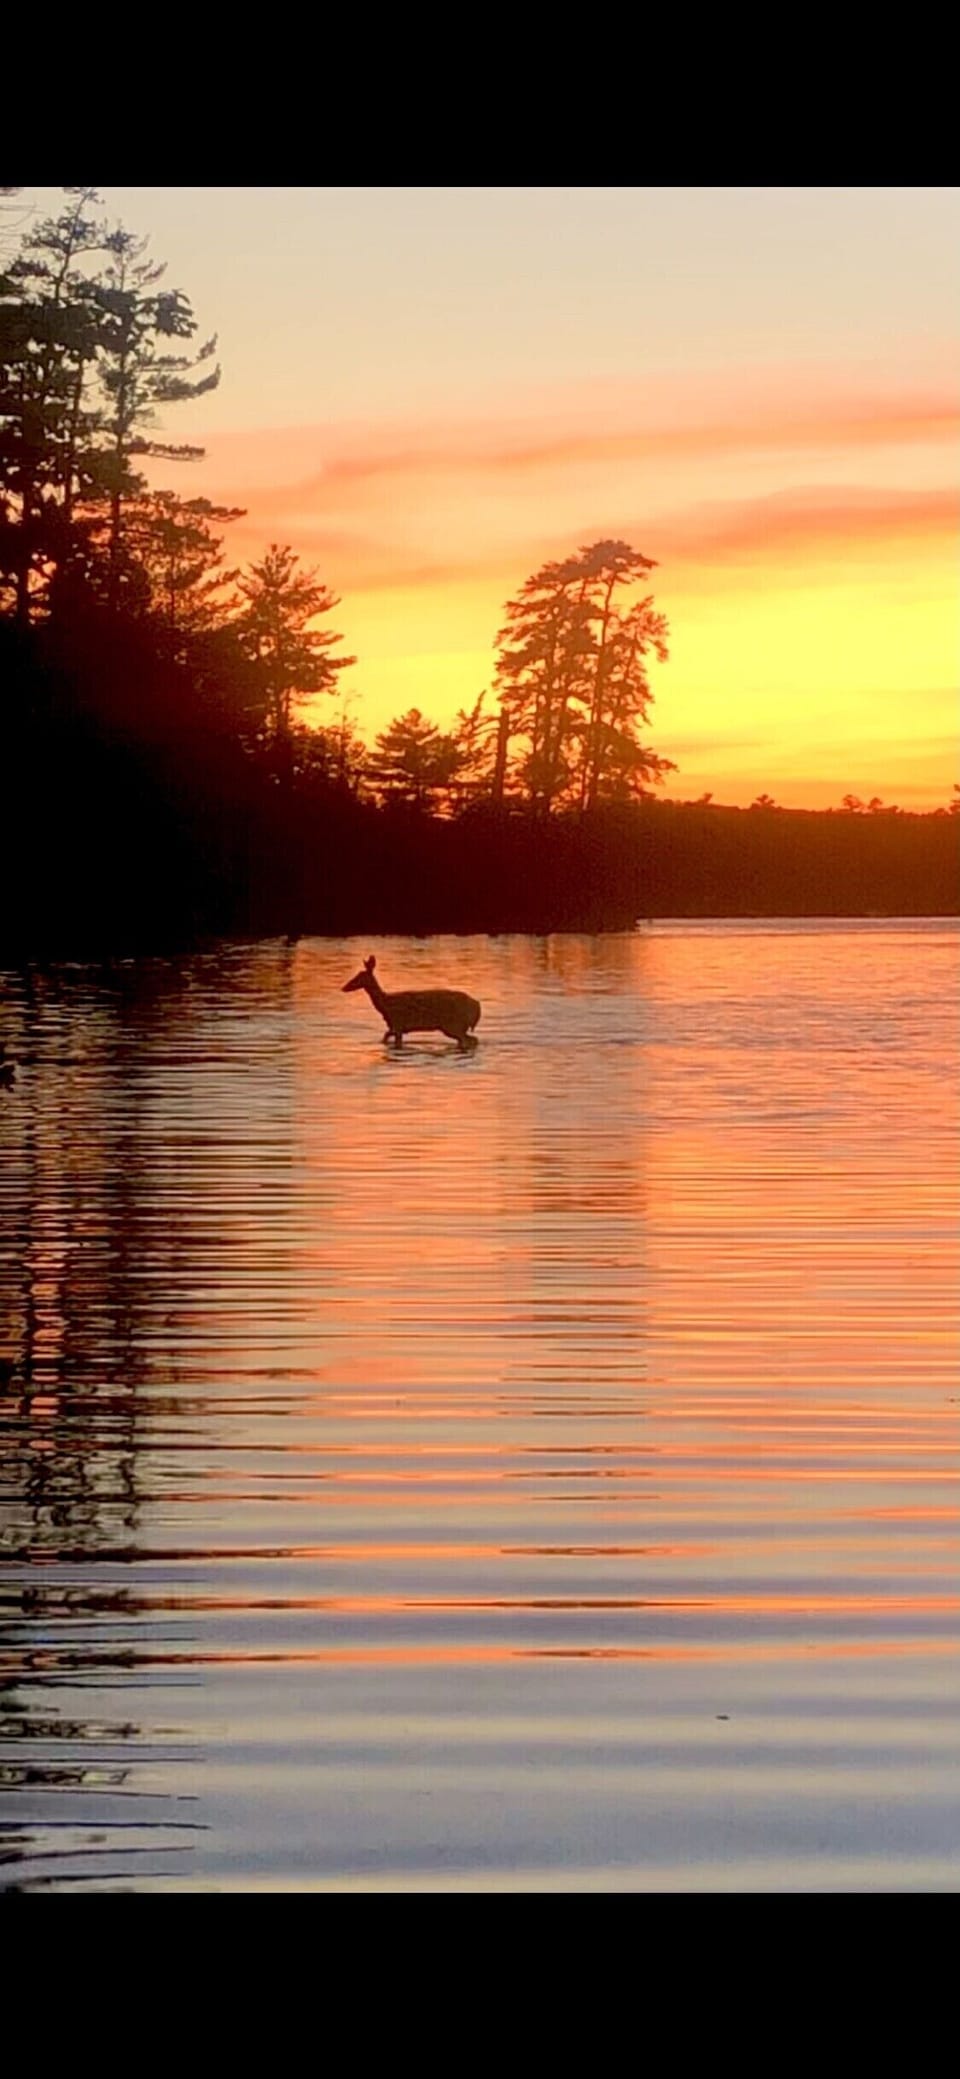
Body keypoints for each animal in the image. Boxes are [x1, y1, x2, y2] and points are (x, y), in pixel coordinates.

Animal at [342, 955, 481, 1050]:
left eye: (359, 976)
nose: (344, 987)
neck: (386, 1005)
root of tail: (476, 1006)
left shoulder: (398, 1024)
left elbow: (393, 1041)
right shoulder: (395, 1027)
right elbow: (385, 1037)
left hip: (453, 1024)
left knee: (471, 1040)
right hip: (457, 1026)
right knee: (471, 1040)